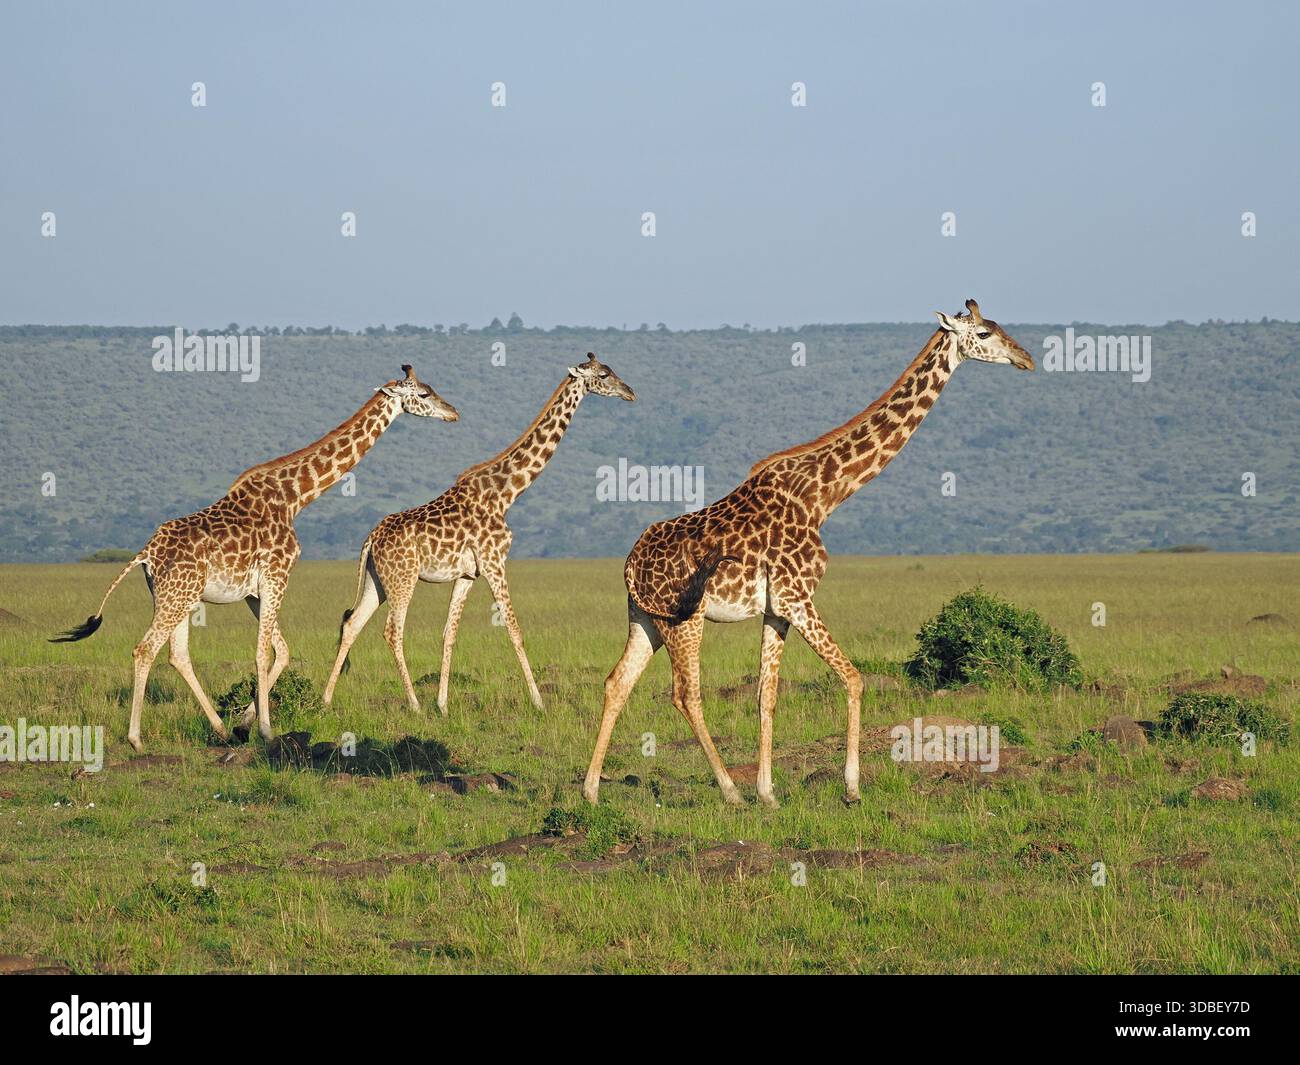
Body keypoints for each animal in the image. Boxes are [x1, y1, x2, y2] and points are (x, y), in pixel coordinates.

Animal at [51, 365, 459, 752]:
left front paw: (244, 724)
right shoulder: (278, 575)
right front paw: (266, 731)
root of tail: (146, 554)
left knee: (177, 654)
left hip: (176, 597)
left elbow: (281, 651)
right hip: (175, 596)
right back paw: (136, 739)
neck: (295, 497)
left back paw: (218, 728)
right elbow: (263, 653)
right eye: (424, 393)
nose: (453, 412)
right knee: (144, 649)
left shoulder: (253, 591)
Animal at [322, 353, 635, 714]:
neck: (506, 493)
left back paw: (326, 699)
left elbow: (449, 633)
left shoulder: (468, 574)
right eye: (604, 375)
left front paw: (443, 705)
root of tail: (371, 538)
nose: (630, 392)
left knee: (352, 623)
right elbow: (514, 629)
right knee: (392, 631)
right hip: (403, 578)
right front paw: (539, 702)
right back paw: (413, 705)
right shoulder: (494, 561)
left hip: (378, 579)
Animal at [582, 300, 1034, 807]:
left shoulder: (777, 608)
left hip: (645, 617)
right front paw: (851, 788)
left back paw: (591, 791)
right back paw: (728, 791)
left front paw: (768, 793)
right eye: (984, 333)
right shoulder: (798, 597)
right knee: (685, 694)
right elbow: (853, 678)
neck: (825, 495)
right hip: (684, 620)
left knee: (618, 682)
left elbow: (767, 695)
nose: (1026, 358)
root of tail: (629, 564)